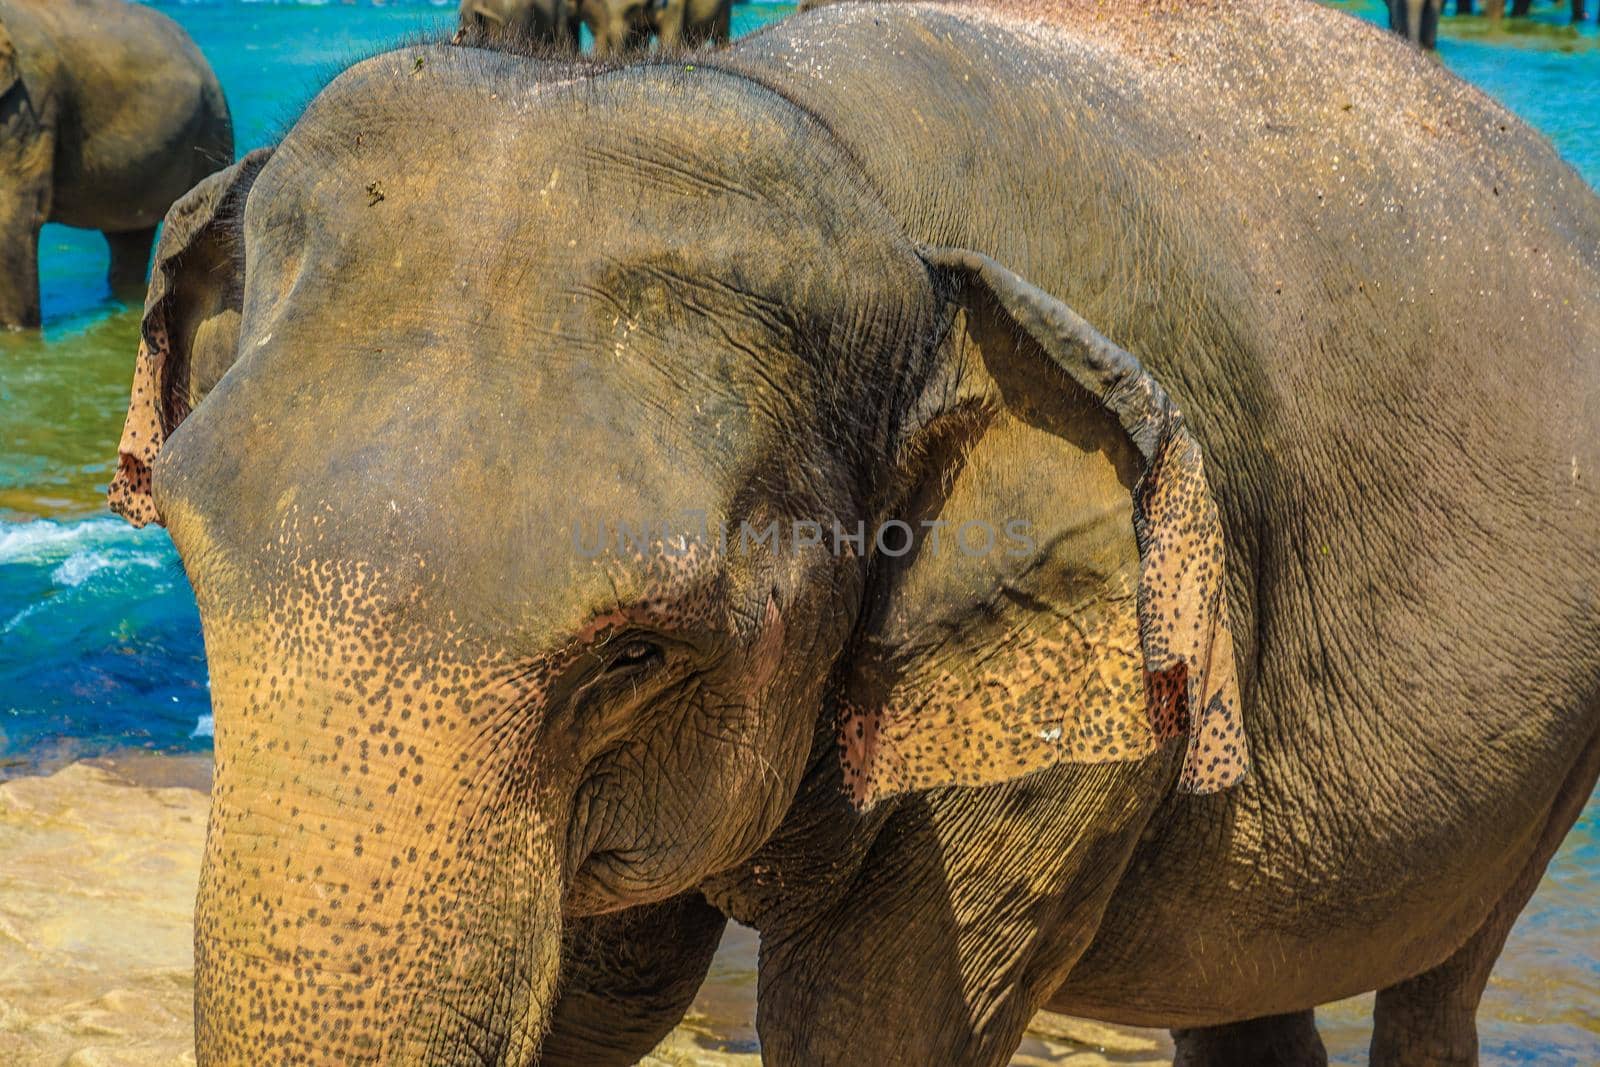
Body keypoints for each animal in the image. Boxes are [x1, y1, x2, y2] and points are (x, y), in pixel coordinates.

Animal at [103, 2, 1600, 1067]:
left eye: (636, 652)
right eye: (194, 559)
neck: (837, 151)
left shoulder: (1089, 677)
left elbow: (870, 1021)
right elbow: (603, 991)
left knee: (1435, 983)